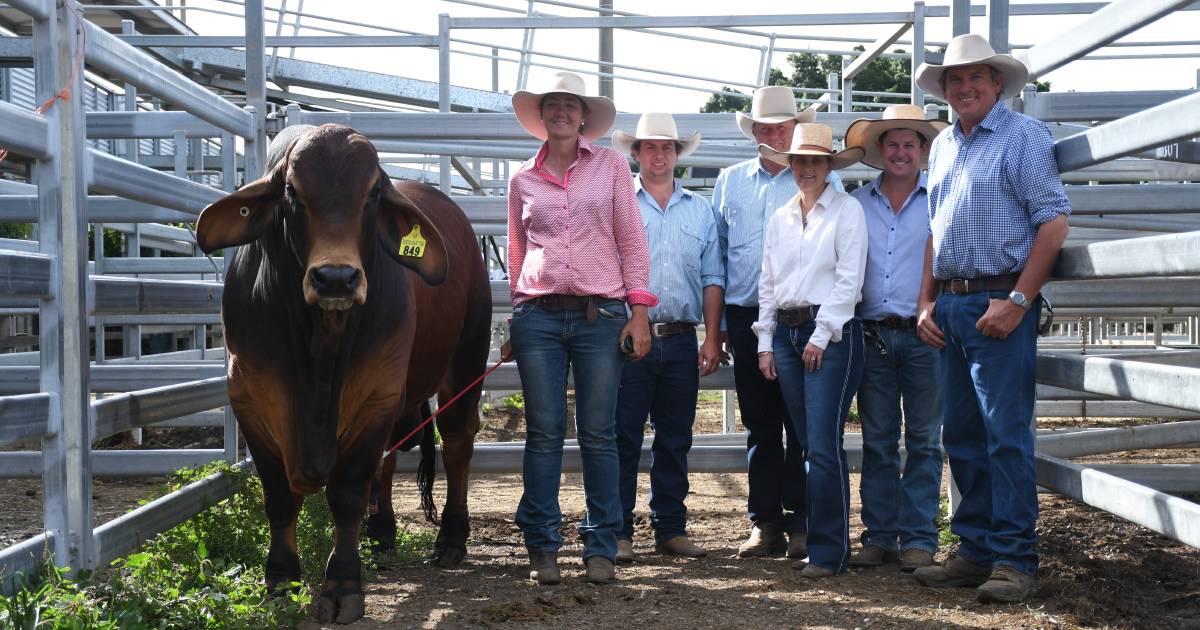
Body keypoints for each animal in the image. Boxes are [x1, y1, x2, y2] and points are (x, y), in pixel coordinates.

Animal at [194, 124, 489, 624]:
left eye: (372, 193)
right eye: (292, 192)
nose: (336, 278)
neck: (320, 346)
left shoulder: (377, 394)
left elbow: (348, 492)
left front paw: (343, 585)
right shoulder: (249, 397)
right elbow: (279, 496)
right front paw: (281, 580)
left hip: (466, 362)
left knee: (456, 447)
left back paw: (450, 539)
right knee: (388, 462)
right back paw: (382, 533)